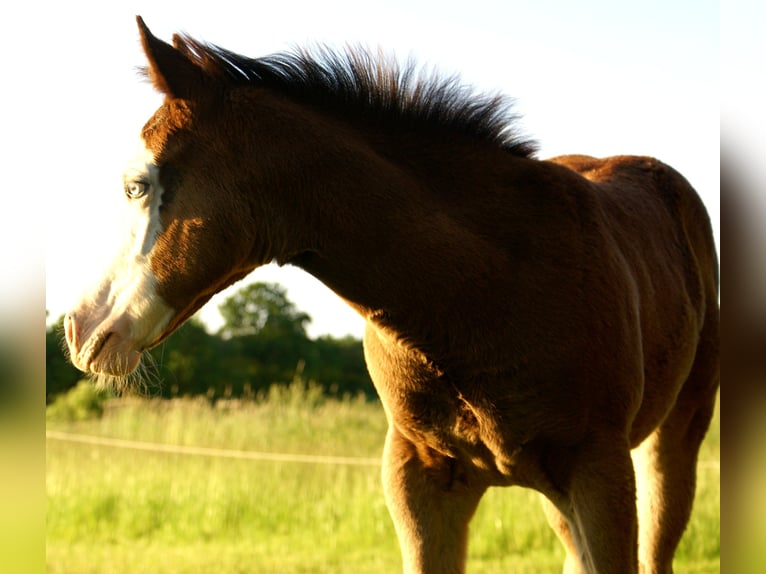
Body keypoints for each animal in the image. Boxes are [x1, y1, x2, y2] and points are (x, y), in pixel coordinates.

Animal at [64, 17, 719, 574]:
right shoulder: (417, 477)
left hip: (667, 446)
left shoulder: (599, 473)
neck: (485, 294)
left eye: (136, 185)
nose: (80, 328)